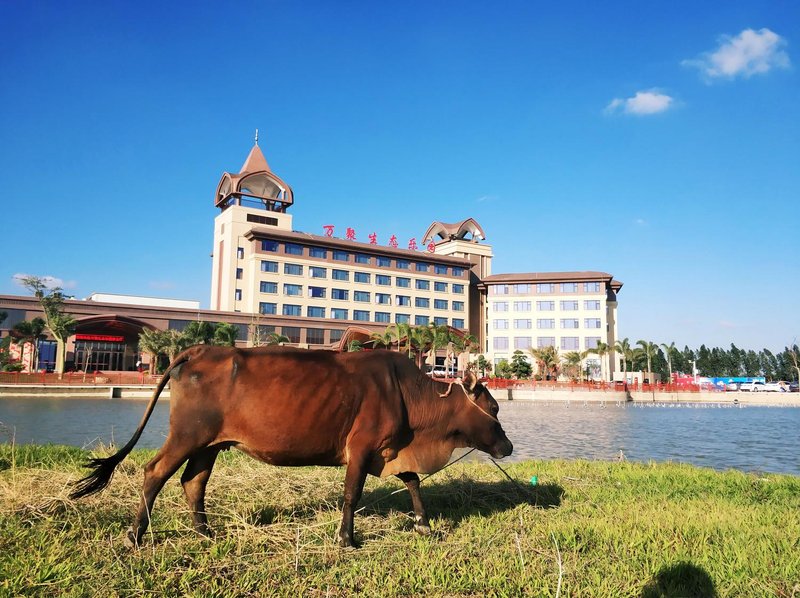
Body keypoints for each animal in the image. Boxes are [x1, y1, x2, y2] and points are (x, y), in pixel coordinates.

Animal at [70, 346, 512, 548]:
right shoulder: (362, 447)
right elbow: (351, 495)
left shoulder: (391, 449)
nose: (508, 445)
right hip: (186, 436)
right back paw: (136, 534)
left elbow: (413, 481)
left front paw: (423, 523)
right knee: (156, 473)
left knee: (194, 481)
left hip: (209, 444)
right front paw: (346, 539)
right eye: (492, 407)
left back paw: (205, 532)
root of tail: (201, 349)